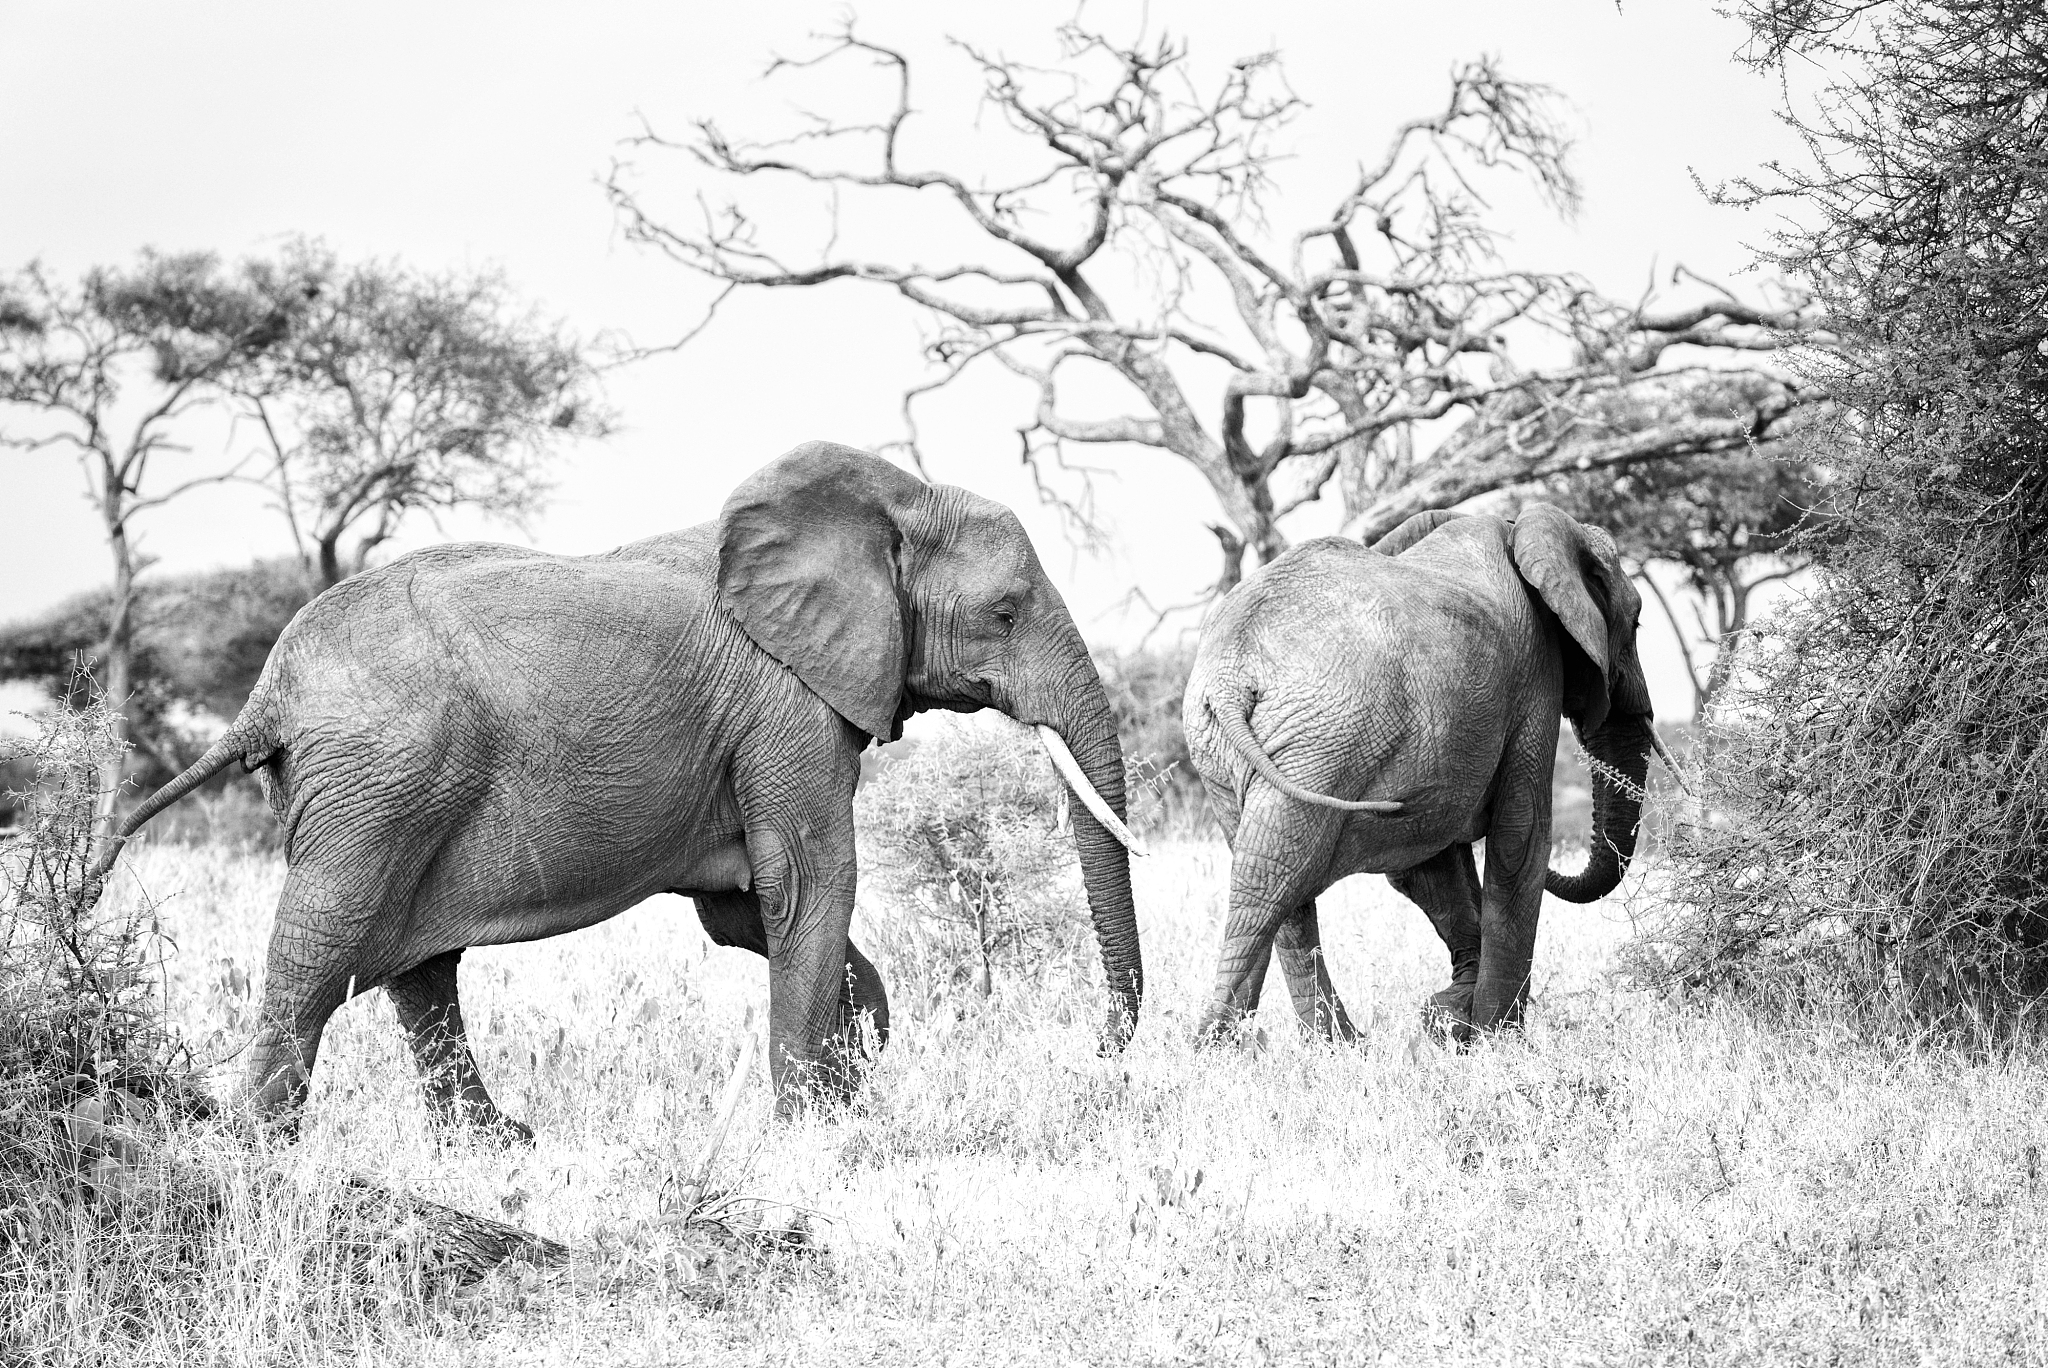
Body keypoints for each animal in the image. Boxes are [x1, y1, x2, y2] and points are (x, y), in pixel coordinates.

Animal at [90, 441, 1146, 1142]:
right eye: (1004, 614)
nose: (1101, 1053)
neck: (891, 500)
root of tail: (268, 692)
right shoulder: (786, 703)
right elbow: (809, 885)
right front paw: (820, 1123)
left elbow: (745, 911)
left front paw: (855, 1065)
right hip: (378, 782)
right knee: (325, 944)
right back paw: (259, 1144)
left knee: (418, 968)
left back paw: (495, 1144)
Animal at [1181, 503, 1671, 1045]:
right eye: (1637, 622)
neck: (1518, 531)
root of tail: (1231, 675)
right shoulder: (1535, 674)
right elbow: (1520, 840)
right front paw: (1496, 1039)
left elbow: (1429, 862)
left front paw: (1450, 1017)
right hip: (1319, 742)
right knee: (1273, 881)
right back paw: (1220, 1050)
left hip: (1231, 753)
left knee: (1278, 885)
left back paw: (1334, 1048)